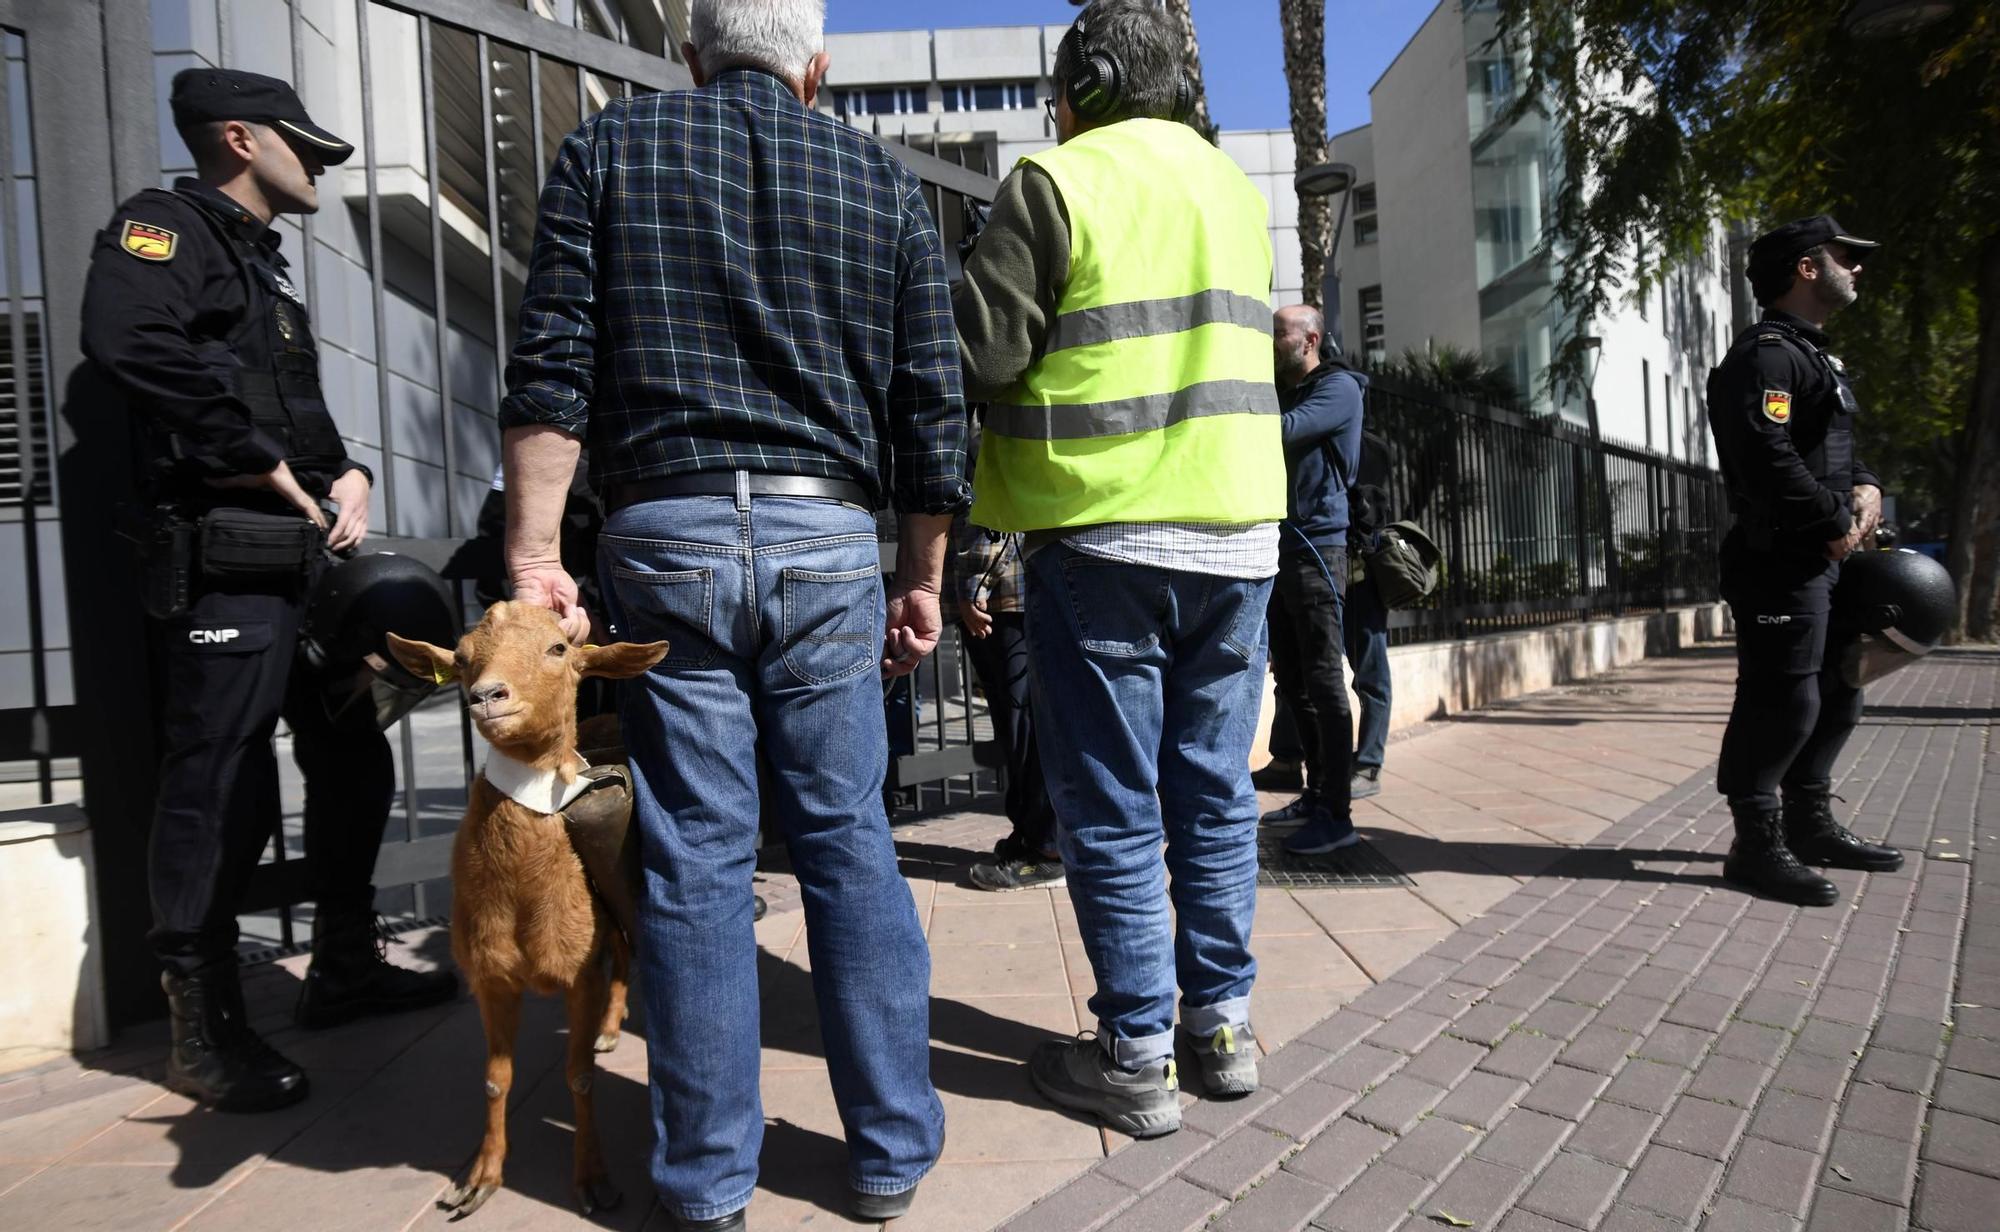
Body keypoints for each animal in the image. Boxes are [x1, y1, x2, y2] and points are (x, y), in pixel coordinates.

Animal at [386, 600, 668, 1216]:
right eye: (461, 657)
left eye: (558, 648)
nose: (488, 695)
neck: (522, 898)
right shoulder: (489, 975)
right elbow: (495, 1079)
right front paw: (478, 1180)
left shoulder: (578, 969)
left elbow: (579, 1075)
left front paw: (593, 1181)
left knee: (625, 951)